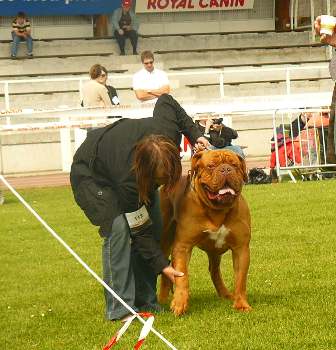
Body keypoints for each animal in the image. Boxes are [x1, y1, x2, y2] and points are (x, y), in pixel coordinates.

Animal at [159, 149, 251, 316]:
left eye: (234, 165)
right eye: (211, 166)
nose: (226, 169)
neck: (217, 211)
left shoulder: (241, 249)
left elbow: (240, 279)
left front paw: (241, 304)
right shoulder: (183, 246)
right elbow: (182, 276)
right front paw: (179, 303)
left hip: (215, 252)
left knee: (214, 270)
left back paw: (225, 294)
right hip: (164, 240)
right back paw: (162, 299)